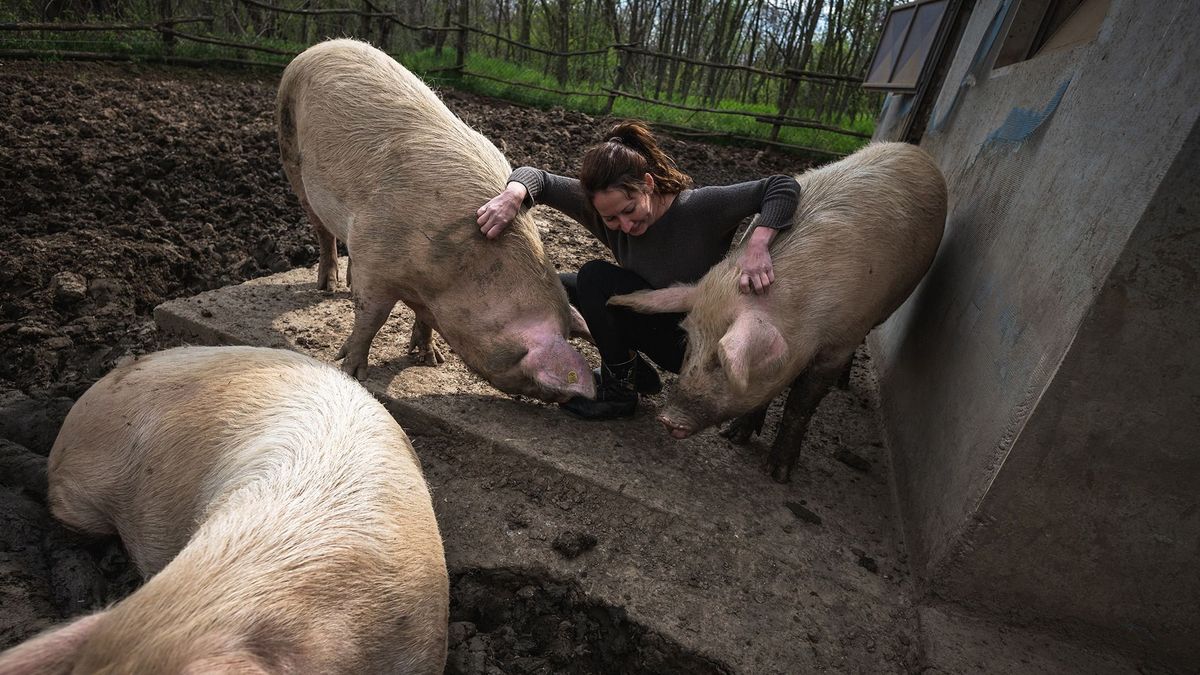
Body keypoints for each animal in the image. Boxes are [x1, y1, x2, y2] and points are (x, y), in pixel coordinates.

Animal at [272, 38, 590, 403]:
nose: (569, 398)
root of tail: (318, 47)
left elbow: (420, 318)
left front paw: (430, 359)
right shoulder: (375, 259)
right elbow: (370, 318)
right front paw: (352, 371)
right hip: (289, 149)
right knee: (321, 229)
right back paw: (328, 286)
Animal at [609, 140, 945, 478]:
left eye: (720, 358)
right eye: (688, 341)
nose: (668, 418)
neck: (801, 318)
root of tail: (913, 149)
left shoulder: (839, 341)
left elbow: (801, 402)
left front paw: (778, 473)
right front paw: (733, 437)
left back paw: (842, 384)